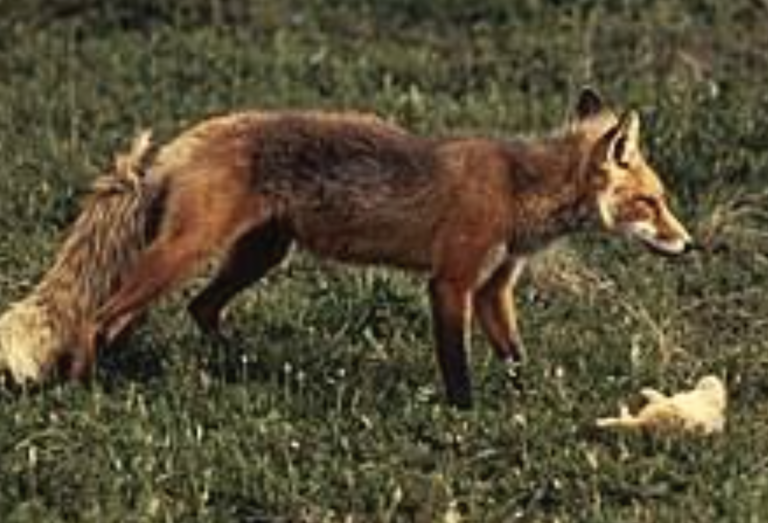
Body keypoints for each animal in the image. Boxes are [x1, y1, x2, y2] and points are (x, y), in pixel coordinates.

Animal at [72, 87, 692, 408]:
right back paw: (85, 385)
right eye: (651, 203)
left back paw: (238, 363)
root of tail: (180, 144)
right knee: (98, 316)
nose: (689, 245)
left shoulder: (494, 288)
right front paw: (464, 417)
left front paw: (530, 401)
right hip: (186, 253)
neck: (518, 188)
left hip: (261, 254)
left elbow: (515, 355)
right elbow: (457, 364)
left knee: (198, 308)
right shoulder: (451, 282)